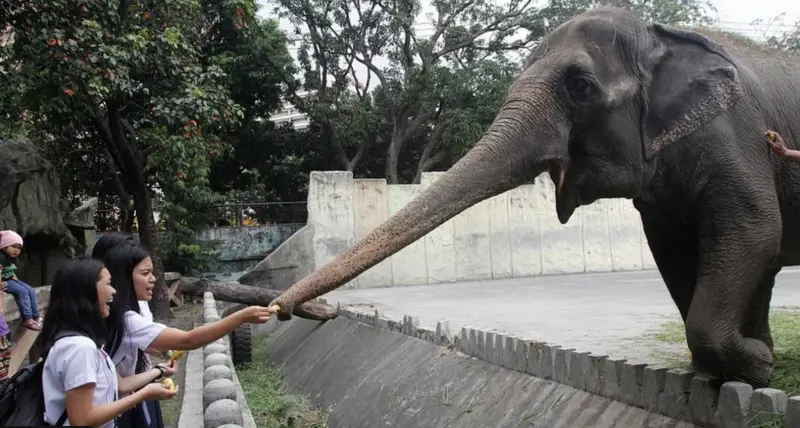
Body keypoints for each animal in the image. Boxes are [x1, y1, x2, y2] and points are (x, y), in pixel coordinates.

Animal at [268, 6, 800, 388]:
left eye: (580, 86)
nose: (279, 311)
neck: (659, 36)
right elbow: (675, 249)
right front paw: (733, 369)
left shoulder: (737, 134)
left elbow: (752, 229)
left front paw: (753, 368)